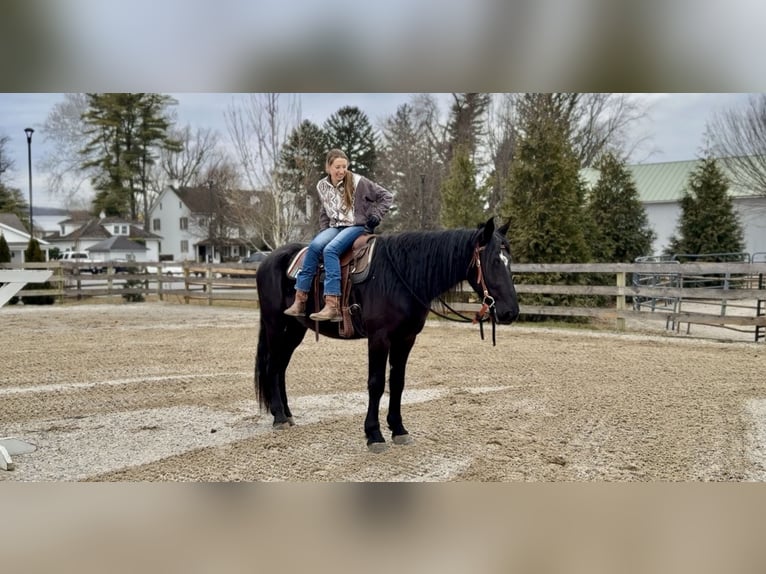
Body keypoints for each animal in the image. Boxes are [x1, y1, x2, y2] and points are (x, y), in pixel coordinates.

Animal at [254, 216, 520, 452]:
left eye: (509, 261)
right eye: (494, 261)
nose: (511, 311)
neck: (401, 276)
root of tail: (268, 261)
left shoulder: (406, 338)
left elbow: (397, 382)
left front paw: (399, 429)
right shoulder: (379, 338)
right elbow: (376, 383)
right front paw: (374, 434)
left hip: (295, 329)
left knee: (280, 367)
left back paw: (287, 414)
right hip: (275, 325)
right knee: (272, 366)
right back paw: (279, 417)